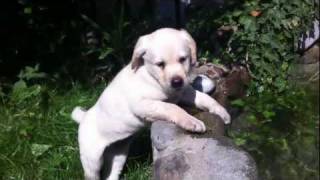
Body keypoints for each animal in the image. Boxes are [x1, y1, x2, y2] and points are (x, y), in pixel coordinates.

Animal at [71, 28, 230, 180]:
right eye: (160, 64)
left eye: (182, 59)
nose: (177, 81)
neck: (152, 76)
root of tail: (84, 117)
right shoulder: (142, 104)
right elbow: (171, 107)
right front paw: (191, 121)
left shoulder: (183, 91)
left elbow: (204, 98)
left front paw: (221, 111)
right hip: (92, 160)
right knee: (92, 174)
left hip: (118, 153)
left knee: (111, 174)